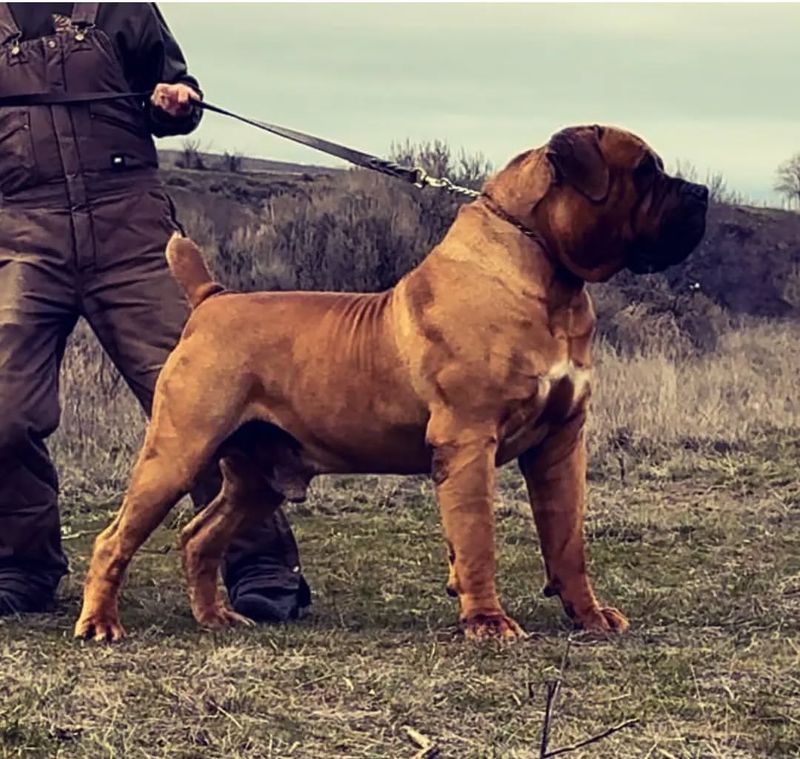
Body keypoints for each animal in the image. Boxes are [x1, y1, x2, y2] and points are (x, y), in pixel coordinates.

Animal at [75, 124, 708, 640]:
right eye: (644, 171)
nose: (701, 193)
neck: (547, 277)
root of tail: (211, 300)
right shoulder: (468, 441)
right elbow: (477, 539)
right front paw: (487, 622)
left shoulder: (561, 443)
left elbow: (567, 540)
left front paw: (589, 615)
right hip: (177, 452)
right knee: (115, 539)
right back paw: (101, 624)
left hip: (257, 480)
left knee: (198, 537)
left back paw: (214, 617)